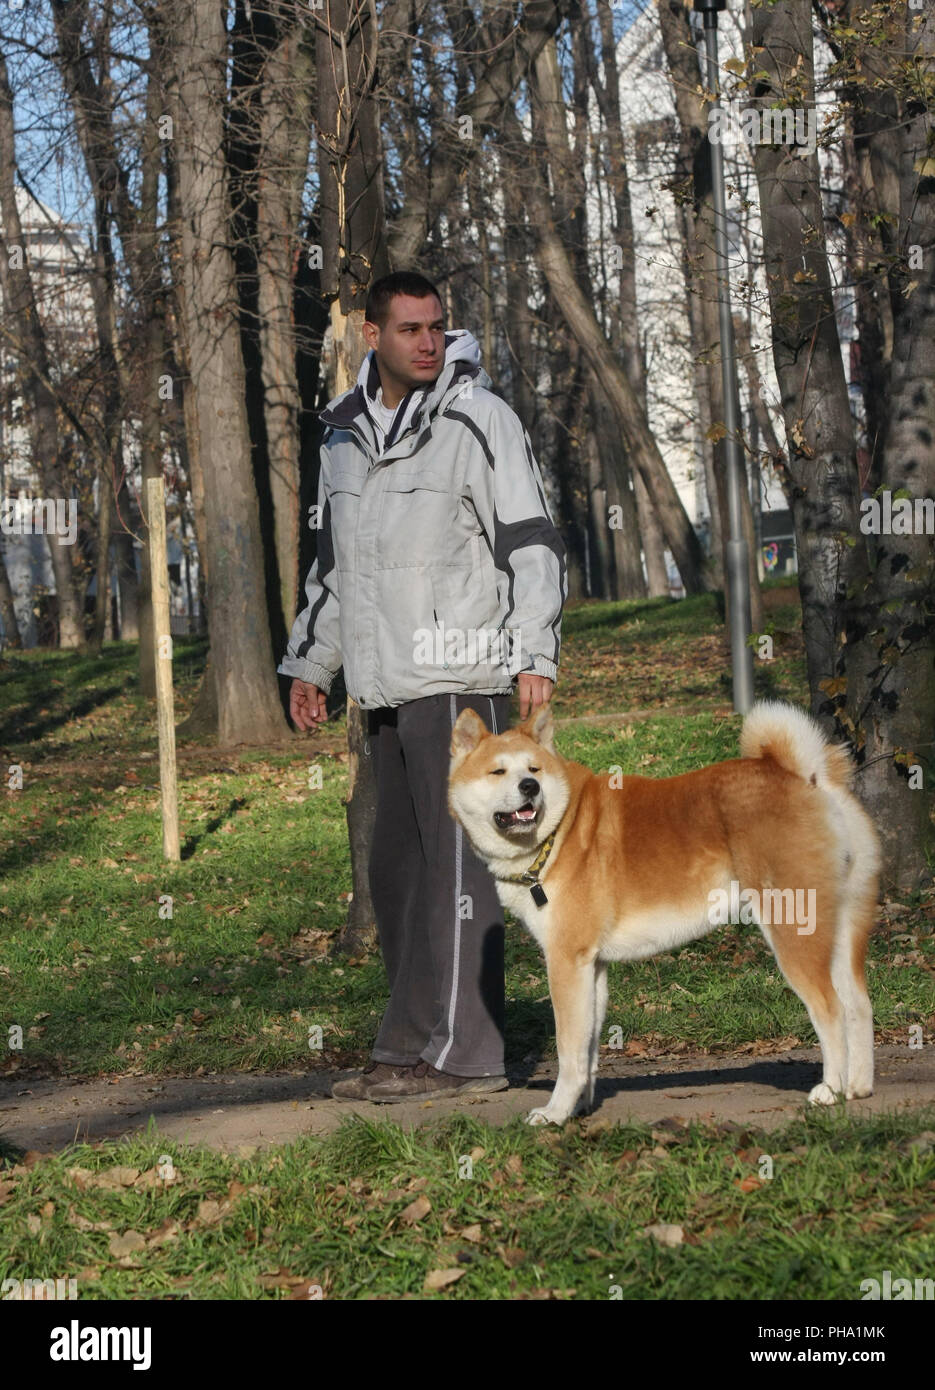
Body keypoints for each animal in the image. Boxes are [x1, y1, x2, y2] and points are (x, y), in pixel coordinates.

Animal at [447, 700, 878, 1123]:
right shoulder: (592, 966)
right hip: (841, 929)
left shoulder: (566, 961)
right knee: (858, 1005)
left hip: (793, 930)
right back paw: (857, 1087)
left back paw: (831, 1090)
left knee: (831, 1010)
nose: (530, 787)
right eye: (498, 771)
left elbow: (569, 1050)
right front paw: (581, 1106)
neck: (559, 831)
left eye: (533, 769)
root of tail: (809, 777)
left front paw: (555, 1113)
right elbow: (588, 1050)